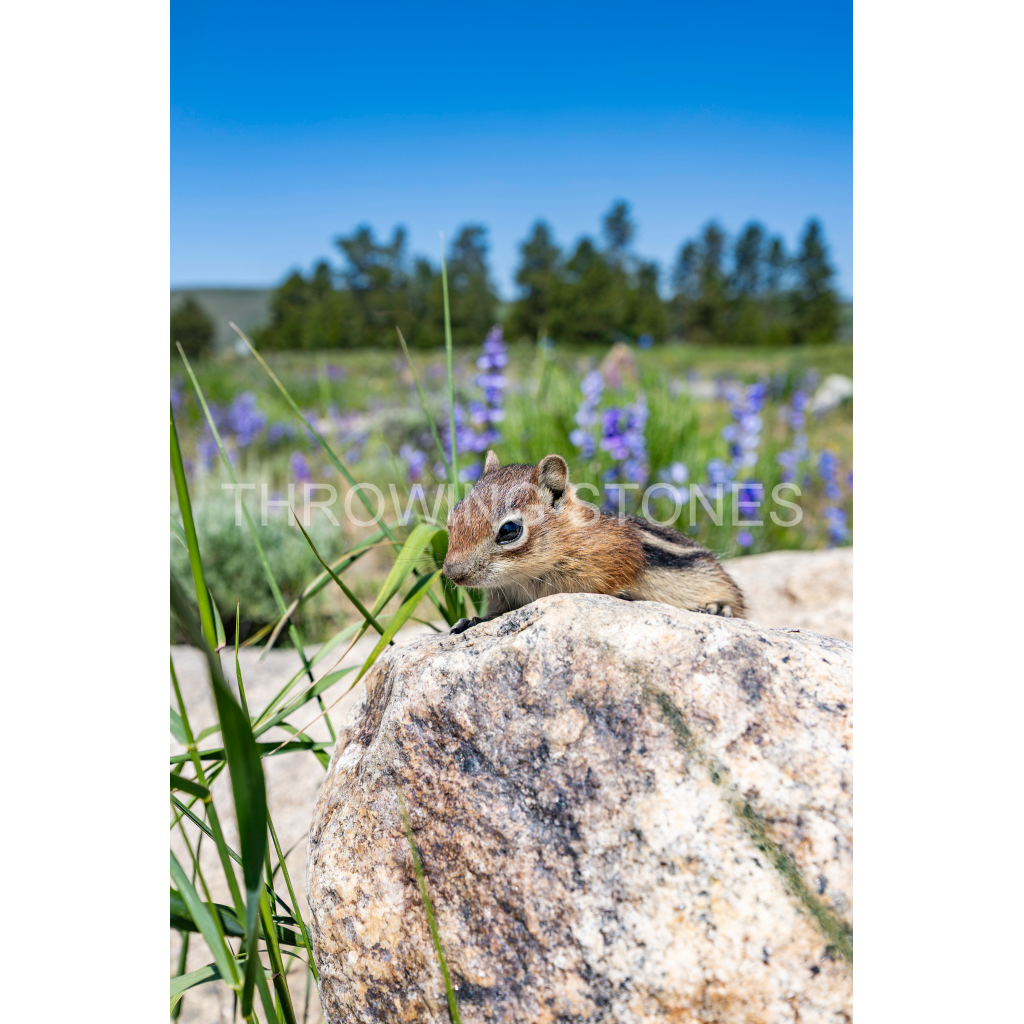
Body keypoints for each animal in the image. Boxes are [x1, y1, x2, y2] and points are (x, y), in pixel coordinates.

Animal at [443, 450, 746, 634]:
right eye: (453, 515)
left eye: (509, 530)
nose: (453, 574)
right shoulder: (501, 595)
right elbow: (494, 613)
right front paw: (470, 620)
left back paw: (719, 608)